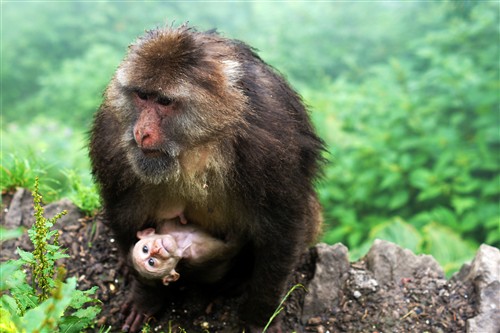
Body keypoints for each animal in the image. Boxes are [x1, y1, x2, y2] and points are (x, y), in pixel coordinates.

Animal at [89, 24, 324, 330]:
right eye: (141, 96)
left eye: (164, 101)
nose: (141, 132)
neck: (201, 142)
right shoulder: (112, 131)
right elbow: (124, 210)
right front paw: (146, 295)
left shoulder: (271, 139)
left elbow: (283, 229)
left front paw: (259, 318)